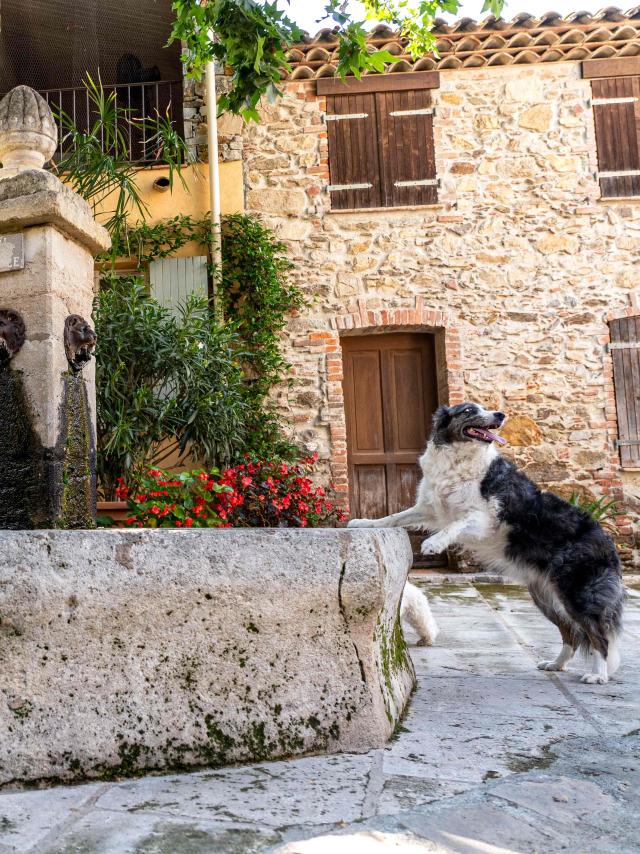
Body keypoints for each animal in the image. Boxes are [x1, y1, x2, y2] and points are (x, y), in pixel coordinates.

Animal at [350, 402, 624, 688]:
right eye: (468, 410)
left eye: (485, 408)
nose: (500, 415)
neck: (459, 457)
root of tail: (607, 540)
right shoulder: (430, 509)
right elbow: (395, 516)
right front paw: (364, 523)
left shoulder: (485, 519)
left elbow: (456, 524)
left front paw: (434, 543)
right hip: (546, 597)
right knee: (571, 633)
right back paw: (557, 664)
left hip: (577, 595)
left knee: (598, 636)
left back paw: (598, 674)